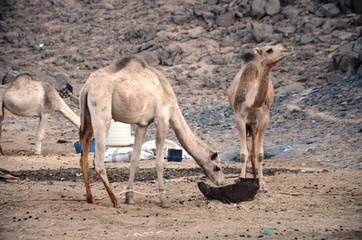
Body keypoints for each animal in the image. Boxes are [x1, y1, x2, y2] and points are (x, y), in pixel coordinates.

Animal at [80, 56, 223, 208]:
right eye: (217, 168)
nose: (221, 182)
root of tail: (87, 87)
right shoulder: (162, 119)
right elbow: (159, 162)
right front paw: (164, 200)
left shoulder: (142, 124)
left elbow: (135, 159)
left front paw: (129, 197)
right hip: (101, 113)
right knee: (98, 160)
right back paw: (115, 201)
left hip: (88, 117)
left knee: (83, 156)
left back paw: (91, 198)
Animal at [228, 44, 288, 191]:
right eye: (269, 50)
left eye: (280, 45)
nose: (286, 49)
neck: (251, 101)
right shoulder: (239, 117)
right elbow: (243, 154)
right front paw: (241, 180)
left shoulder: (264, 118)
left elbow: (260, 154)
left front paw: (262, 184)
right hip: (248, 122)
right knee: (249, 150)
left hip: (254, 123)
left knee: (254, 151)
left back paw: (256, 178)